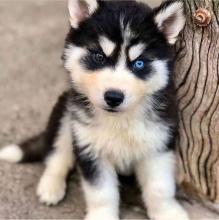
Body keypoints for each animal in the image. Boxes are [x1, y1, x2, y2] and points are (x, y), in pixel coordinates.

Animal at [0, 0, 188, 220]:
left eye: (139, 63)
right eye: (99, 57)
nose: (113, 97)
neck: (119, 121)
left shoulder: (158, 144)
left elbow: (159, 187)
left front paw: (168, 212)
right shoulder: (90, 149)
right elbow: (101, 193)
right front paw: (102, 215)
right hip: (66, 115)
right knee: (57, 154)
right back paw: (51, 186)